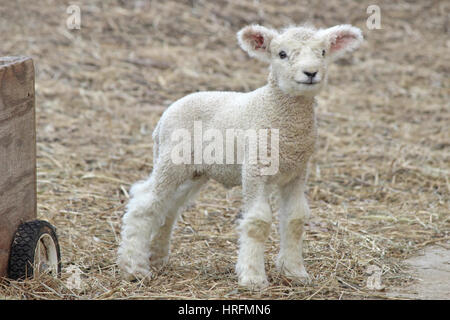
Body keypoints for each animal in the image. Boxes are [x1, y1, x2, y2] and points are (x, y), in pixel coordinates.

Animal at [118, 22, 364, 288]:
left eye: (323, 52)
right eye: (282, 54)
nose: (310, 73)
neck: (277, 113)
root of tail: (163, 118)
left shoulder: (297, 171)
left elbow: (295, 219)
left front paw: (295, 272)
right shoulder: (255, 167)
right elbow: (258, 222)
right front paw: (253, 277)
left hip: (195, 171)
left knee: (169, 206)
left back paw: (157, 256)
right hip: (171, 160)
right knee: (145, 202)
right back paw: (134, 267)